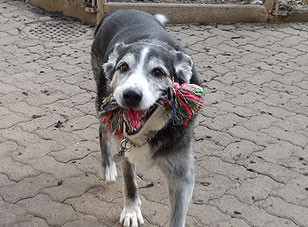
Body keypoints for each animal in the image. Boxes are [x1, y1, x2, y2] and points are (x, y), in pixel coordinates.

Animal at [91, 10, 202, 227]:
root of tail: (117, 10)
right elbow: (130, 182)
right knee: (102, 129)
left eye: (158, 72)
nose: (131, 95)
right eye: (123, 67)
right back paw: (107, 166)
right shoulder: (125, 151)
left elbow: (177, 216)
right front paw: (131, 211)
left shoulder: (182, 173)